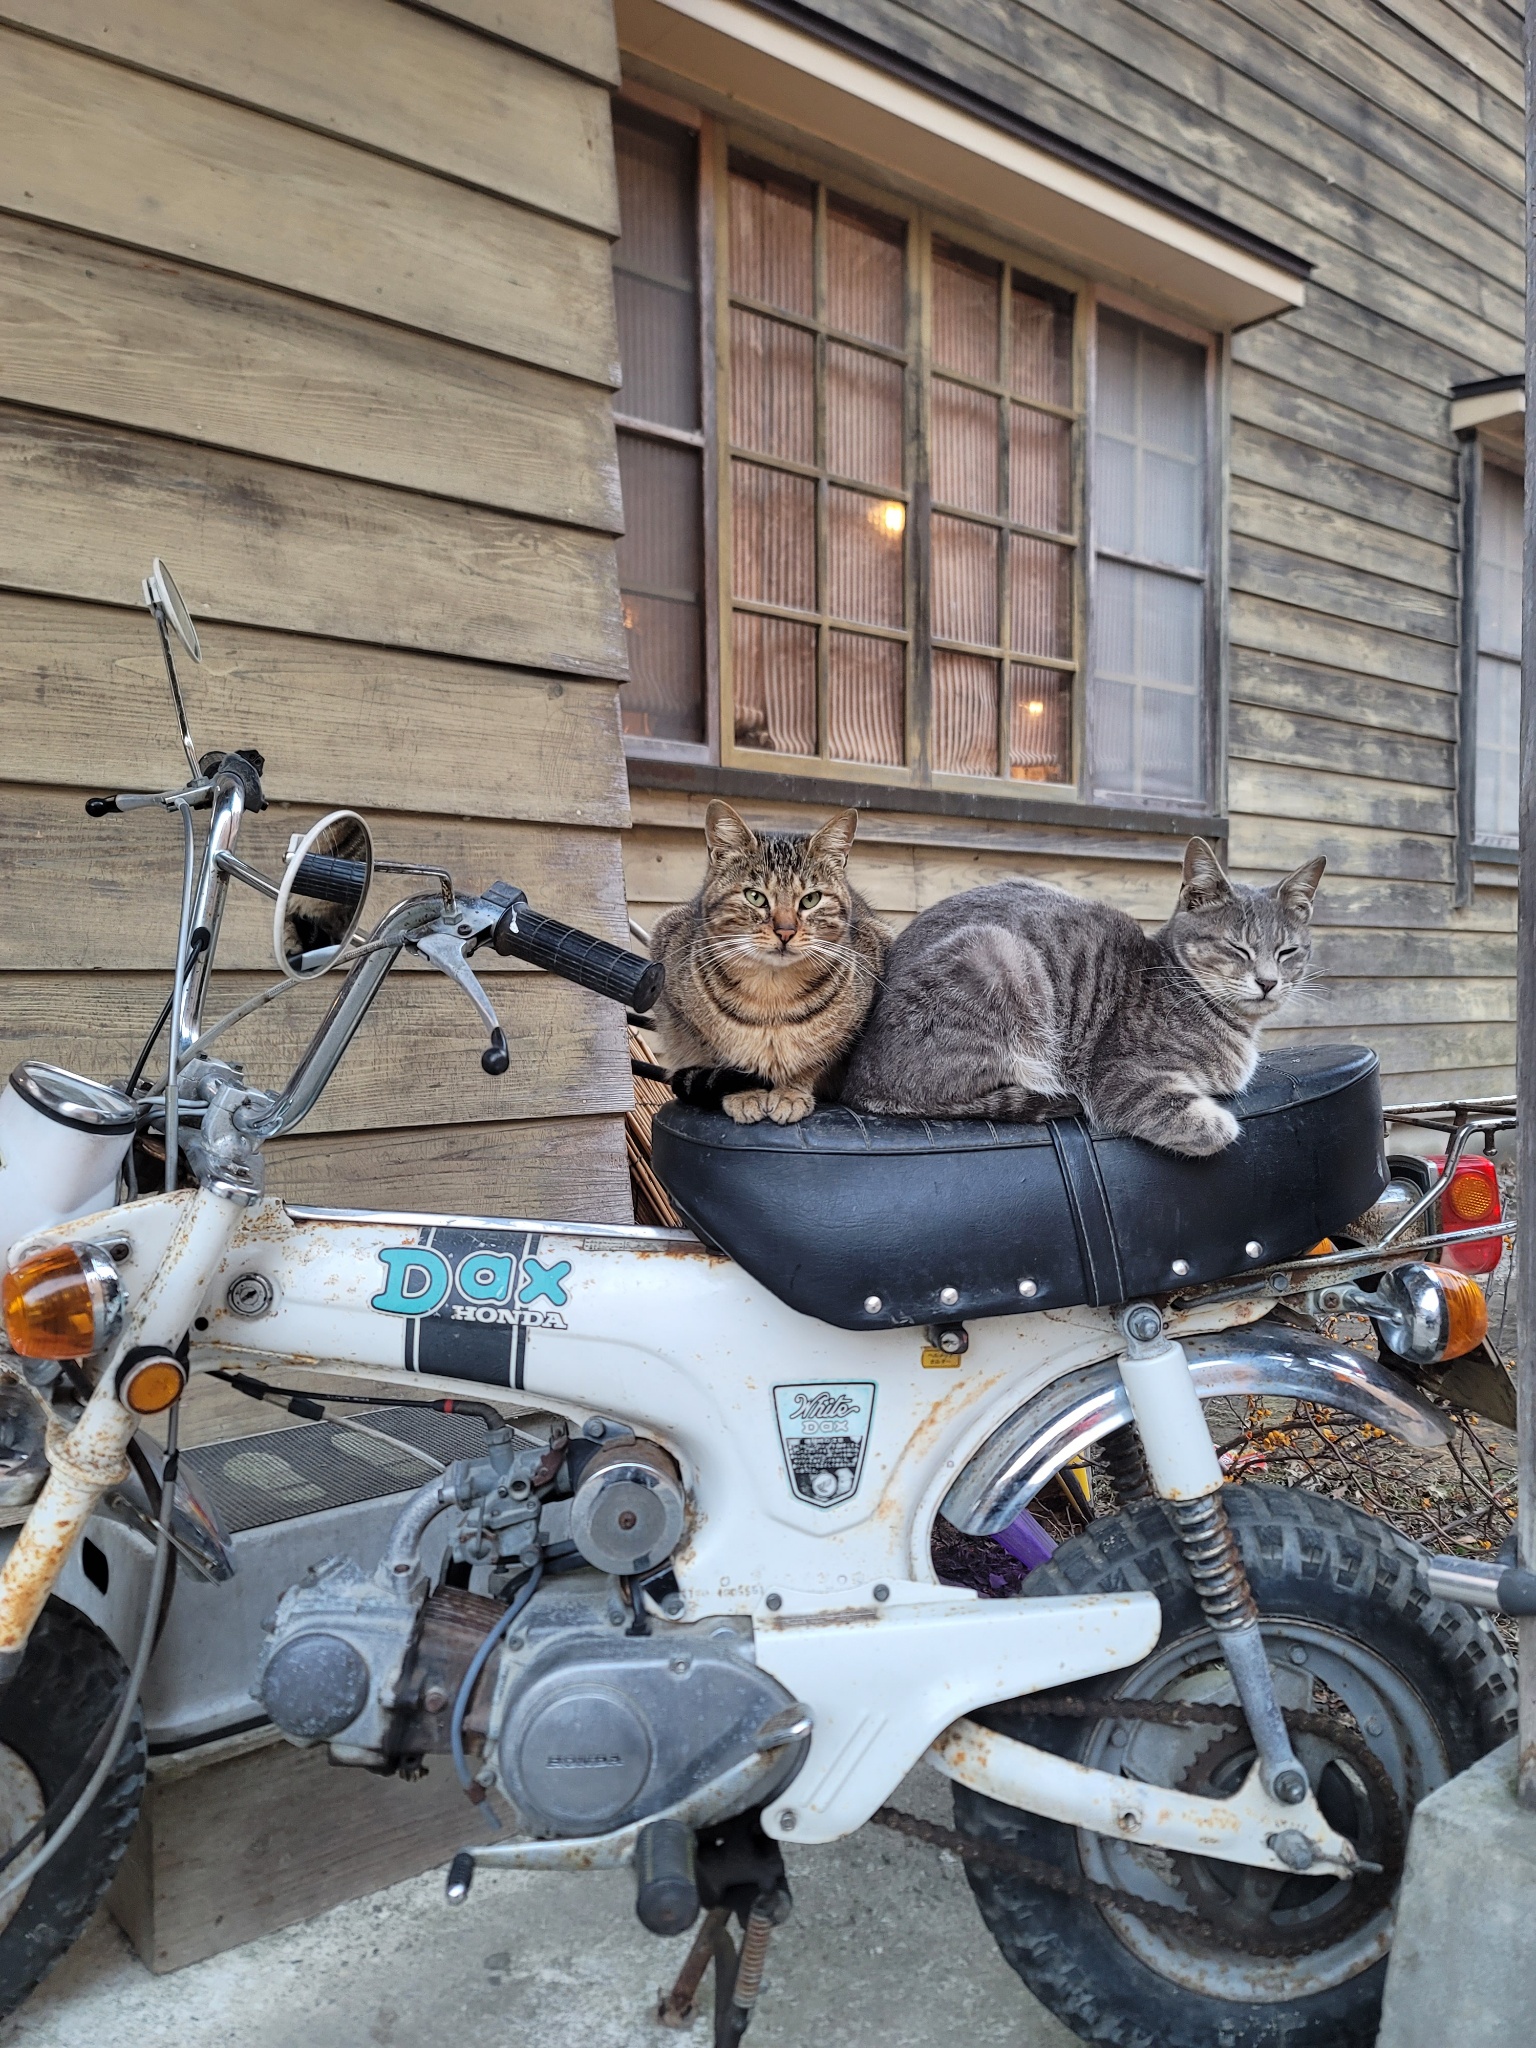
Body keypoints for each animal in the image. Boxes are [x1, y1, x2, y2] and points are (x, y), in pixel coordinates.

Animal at [649, 800, 890, 1126]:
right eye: (755, 896)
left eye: (811, 899)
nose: (785, 931)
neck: (771, 994)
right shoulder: (676, 996)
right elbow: (720, 1055)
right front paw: (745, 1094)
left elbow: (813, 1058)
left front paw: (790, 1092)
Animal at [840, 837, 1324, 1157]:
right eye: (1236, 948)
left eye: (1288, 952)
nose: (1268, 982)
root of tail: (857, 1079)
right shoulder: (1120, 1076)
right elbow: (1203, 1123)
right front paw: (1218, 1124)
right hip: (996, 959)